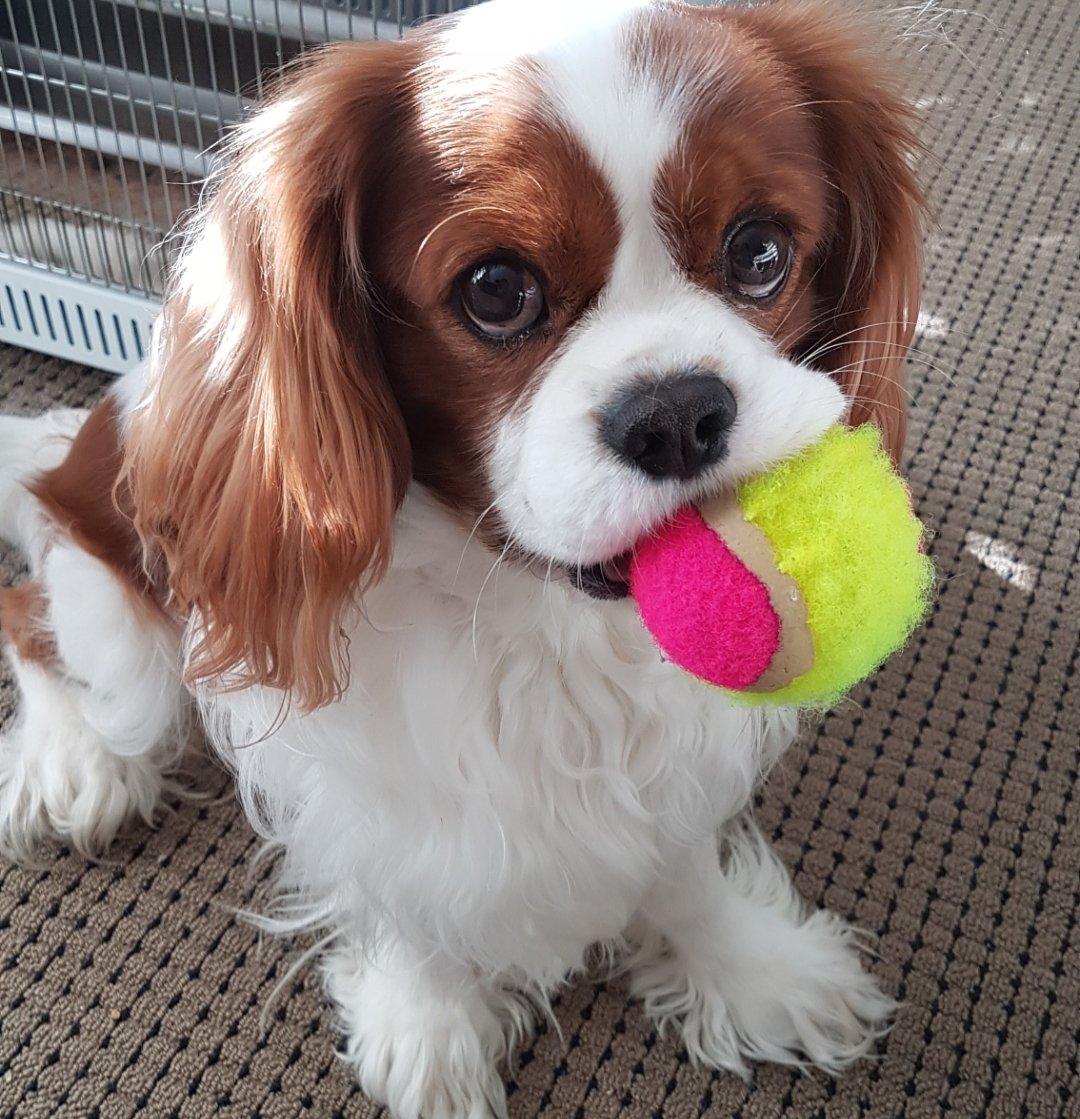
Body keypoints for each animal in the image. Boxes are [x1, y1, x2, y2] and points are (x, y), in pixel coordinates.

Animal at [0, 4, 922, 1114]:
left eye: (760, 251)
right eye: (496, 289)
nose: (676, 414)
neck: (544, 611)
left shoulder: (675, 752)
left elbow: (680, 861)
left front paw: (743, 964)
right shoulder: (371, 770)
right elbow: (406, 893)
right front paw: (426, 1019)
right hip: (128, 625)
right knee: (31, 610)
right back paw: (73, 760)